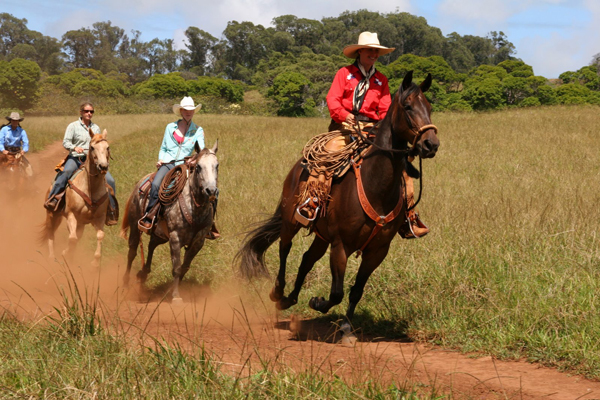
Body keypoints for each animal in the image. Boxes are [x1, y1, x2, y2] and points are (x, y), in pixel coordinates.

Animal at [40, 130, 110, 268]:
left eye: (107, 147)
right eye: (92, 147)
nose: (103, 166)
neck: (90, 189)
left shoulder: (100, 217)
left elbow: (100, 235)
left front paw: (95, 263)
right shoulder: (71, 214)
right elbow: (72, 239)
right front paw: (64, 254)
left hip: (81, 223)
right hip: (51, 214)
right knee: (50, 232)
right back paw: (51, 257)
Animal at [119, 142, 218, 302]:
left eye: (217, 165)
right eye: (198, 167)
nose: (211, 190)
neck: (195, 209)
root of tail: (140, 183)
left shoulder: (198, 241)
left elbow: (184, 267)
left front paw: (172, 290)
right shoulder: (175, 237)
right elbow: (177, 268)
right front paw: (176, 296)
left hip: (160, 235)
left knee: (151, 245)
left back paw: (144, 273)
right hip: (135, 227)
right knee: (132, 252)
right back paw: (126, 283)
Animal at [238, 71, 440, 334]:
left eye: (429, 107)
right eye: (407, 106)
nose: (431, 144)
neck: (376, 186)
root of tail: (297, 167)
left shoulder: (377, 250)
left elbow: (355, 291)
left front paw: (345, 326)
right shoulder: (341, 245)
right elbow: (336, 293)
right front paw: (317, 302)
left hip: (322, 236)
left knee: (306, 259)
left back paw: (289, 299)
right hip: (291, 221)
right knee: (285, 248)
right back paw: (278, 293)